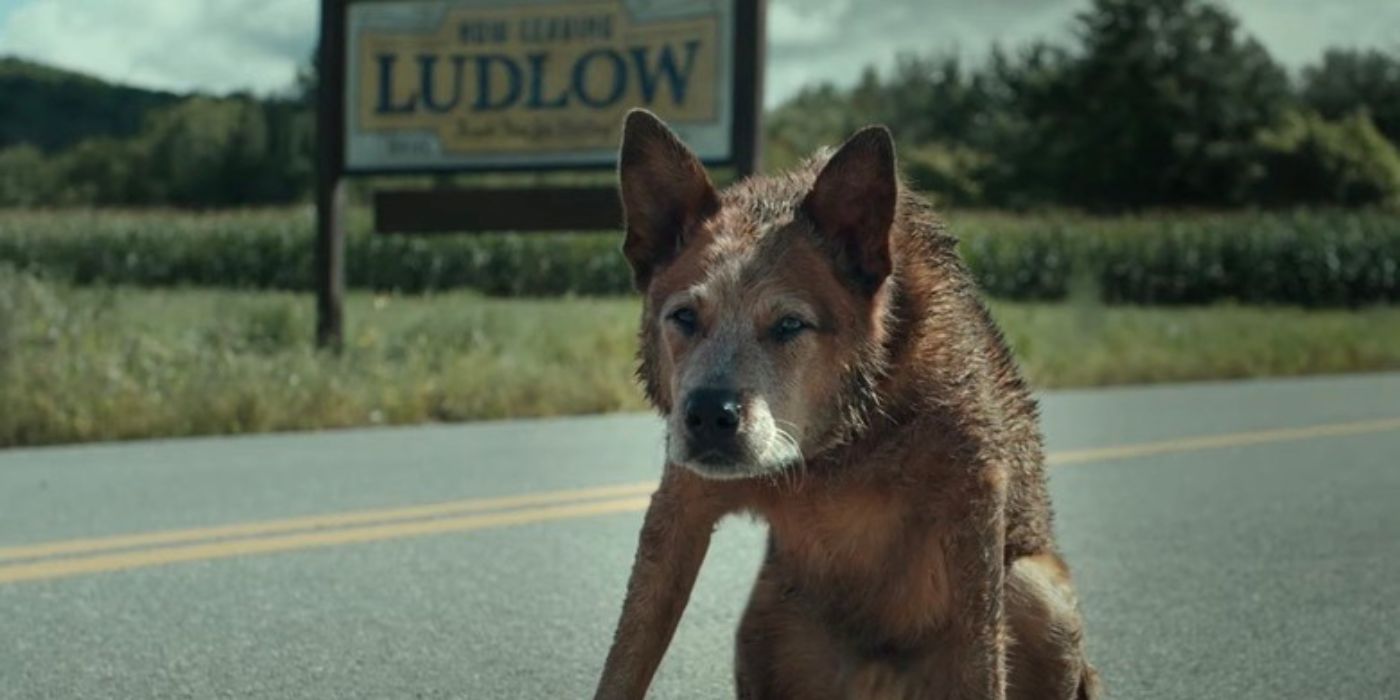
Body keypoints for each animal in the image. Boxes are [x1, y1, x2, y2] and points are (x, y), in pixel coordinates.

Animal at [590, 110, 1092, 700]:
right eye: (685, 317)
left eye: (790, 325)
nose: (710, 415)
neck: (840, 448)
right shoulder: (680, 505)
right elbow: (625, 661)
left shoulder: (974, 496)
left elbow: (979, 663)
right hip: (767, 615)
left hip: (1041, 592)